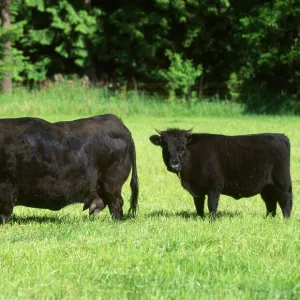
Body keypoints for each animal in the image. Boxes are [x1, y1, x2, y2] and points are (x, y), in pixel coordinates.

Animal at [151, 127, 292, 219]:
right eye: (165, 146)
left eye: (183, 147)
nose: (174, 165)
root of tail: (281, 136)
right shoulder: (197, 191)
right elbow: (199, 206)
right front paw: (200, 218)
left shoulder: (214, 186)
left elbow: (212, 205)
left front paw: (211, 220)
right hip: (267, 186)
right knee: (270, 202)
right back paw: (269, 218)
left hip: (282, 182)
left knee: (286, 200)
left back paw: (286, 219)